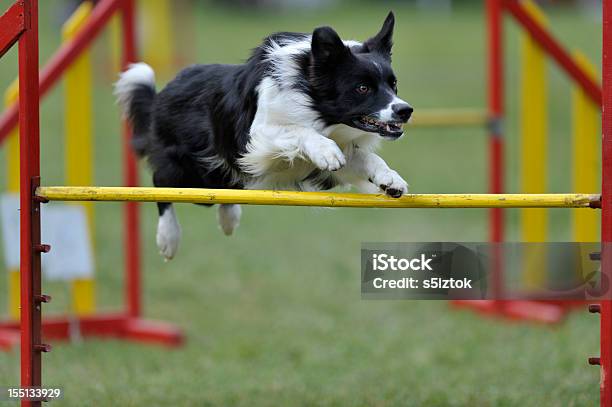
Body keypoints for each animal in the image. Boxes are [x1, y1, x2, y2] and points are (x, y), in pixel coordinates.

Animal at [115, 13, 412, 262]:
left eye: (394, 84)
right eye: (362, 88)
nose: (405, 110)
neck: (311, 97)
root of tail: (162, 93)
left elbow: (364, 157)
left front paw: (390, 179)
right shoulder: (256, 137)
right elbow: (300, 131)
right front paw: (325, 150)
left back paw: (229, 217)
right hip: (188, 170)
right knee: (161, 182)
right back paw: (169, 238)